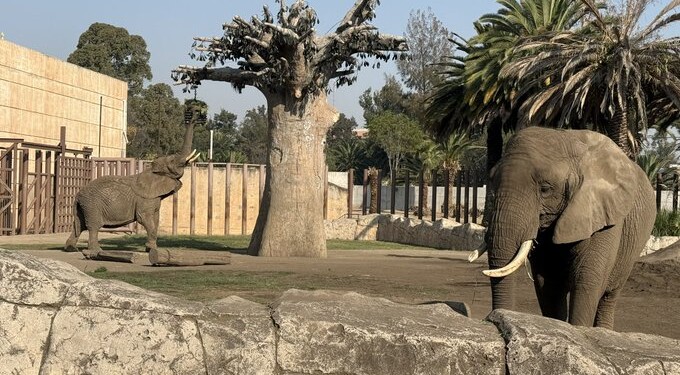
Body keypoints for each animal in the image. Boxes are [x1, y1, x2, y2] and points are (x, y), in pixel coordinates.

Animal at [63, 124, 199, 256]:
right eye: (172, 161)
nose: (193, 117)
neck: (152, 171)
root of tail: (78, 195)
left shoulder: (154, 198)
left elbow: (155, 220)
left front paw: (151, 249)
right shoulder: (145, 199)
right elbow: (144, 218)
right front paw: (151, 249)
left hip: (84, 205)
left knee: (79, 224)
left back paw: (71, 249)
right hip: (92, 204)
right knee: (93, 225)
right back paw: (96, 251)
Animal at [470, 128, 656, 330]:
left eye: (545, 189)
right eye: (492, 181)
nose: (494, 318)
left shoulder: (604, 214)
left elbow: (587, 279)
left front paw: (580, 330)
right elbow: (549, 284)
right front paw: (557, 326)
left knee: (609, 296)